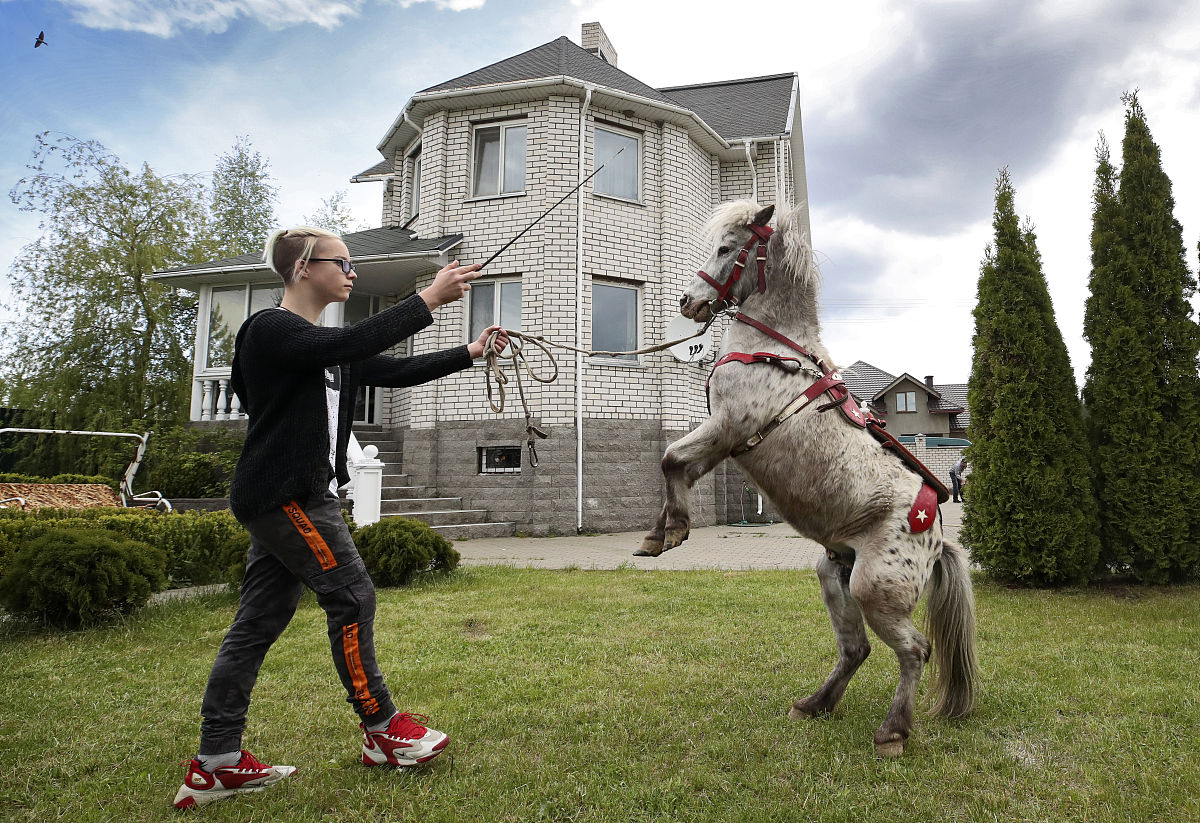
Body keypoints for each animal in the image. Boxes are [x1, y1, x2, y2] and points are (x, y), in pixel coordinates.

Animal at [636, 200, 978, 756]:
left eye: (727, 248)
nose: (689, 302)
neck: (776, 351)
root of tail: (938, 538)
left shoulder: (728, 428)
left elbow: (669, 458)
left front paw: (674, 530)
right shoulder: (726, 443)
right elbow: (677, 467)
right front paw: (658, 535)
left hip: (876, 589)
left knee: (915, 651)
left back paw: (891, 732)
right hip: (833, 573)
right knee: (856, 649)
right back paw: (814, 704)